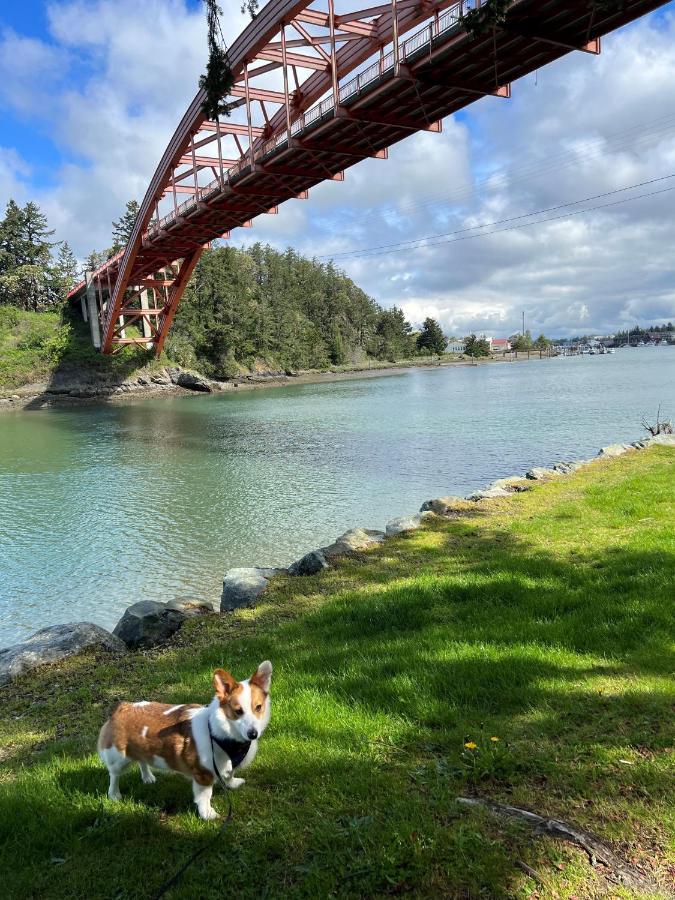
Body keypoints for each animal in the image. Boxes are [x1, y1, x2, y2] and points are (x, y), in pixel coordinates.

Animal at [97, 656, 272, 820]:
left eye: (258, 707)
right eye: (238, 711)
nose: (253, 734)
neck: (222, 732)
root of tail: (121, 707)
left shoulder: (226, 765)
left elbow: (229, 774)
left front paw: (233, 784)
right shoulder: (203, 775)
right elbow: (205, 797)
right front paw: (207, 814)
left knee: (142, 761)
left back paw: (148, 778)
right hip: (117, 757)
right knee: (114, 776)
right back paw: (114, 795)